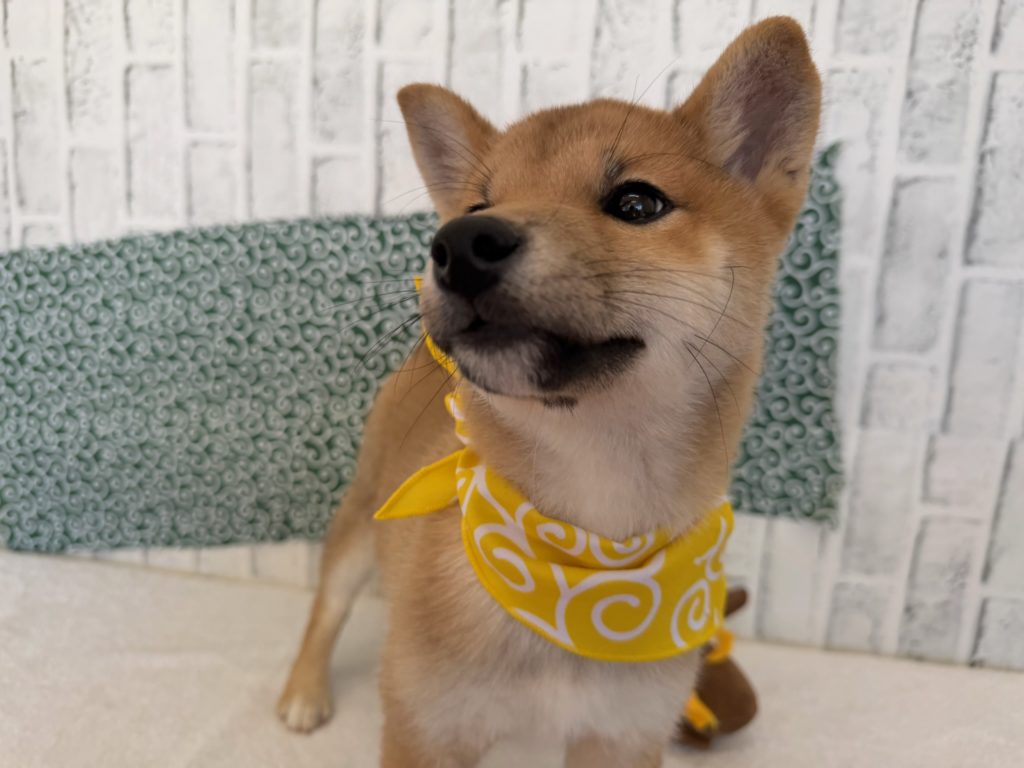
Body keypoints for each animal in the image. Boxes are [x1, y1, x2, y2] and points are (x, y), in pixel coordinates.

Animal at [277, 17, 820, 766]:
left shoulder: (622, 736)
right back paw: (304, 690)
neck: (584, 548)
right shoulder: (426, 728)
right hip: (362, 516)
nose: (459, 244)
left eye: (638, 203)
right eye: (478, 204)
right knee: (326, 608)